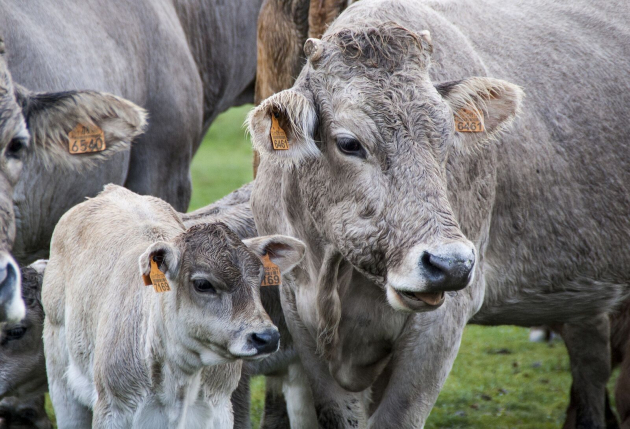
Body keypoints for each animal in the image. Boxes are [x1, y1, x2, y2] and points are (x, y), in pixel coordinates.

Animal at [249, 0, 630, 426]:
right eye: (349, 143)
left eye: (447, 137)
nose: (451, 264)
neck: (334, 271)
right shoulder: (297, 311)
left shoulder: (442, 322)